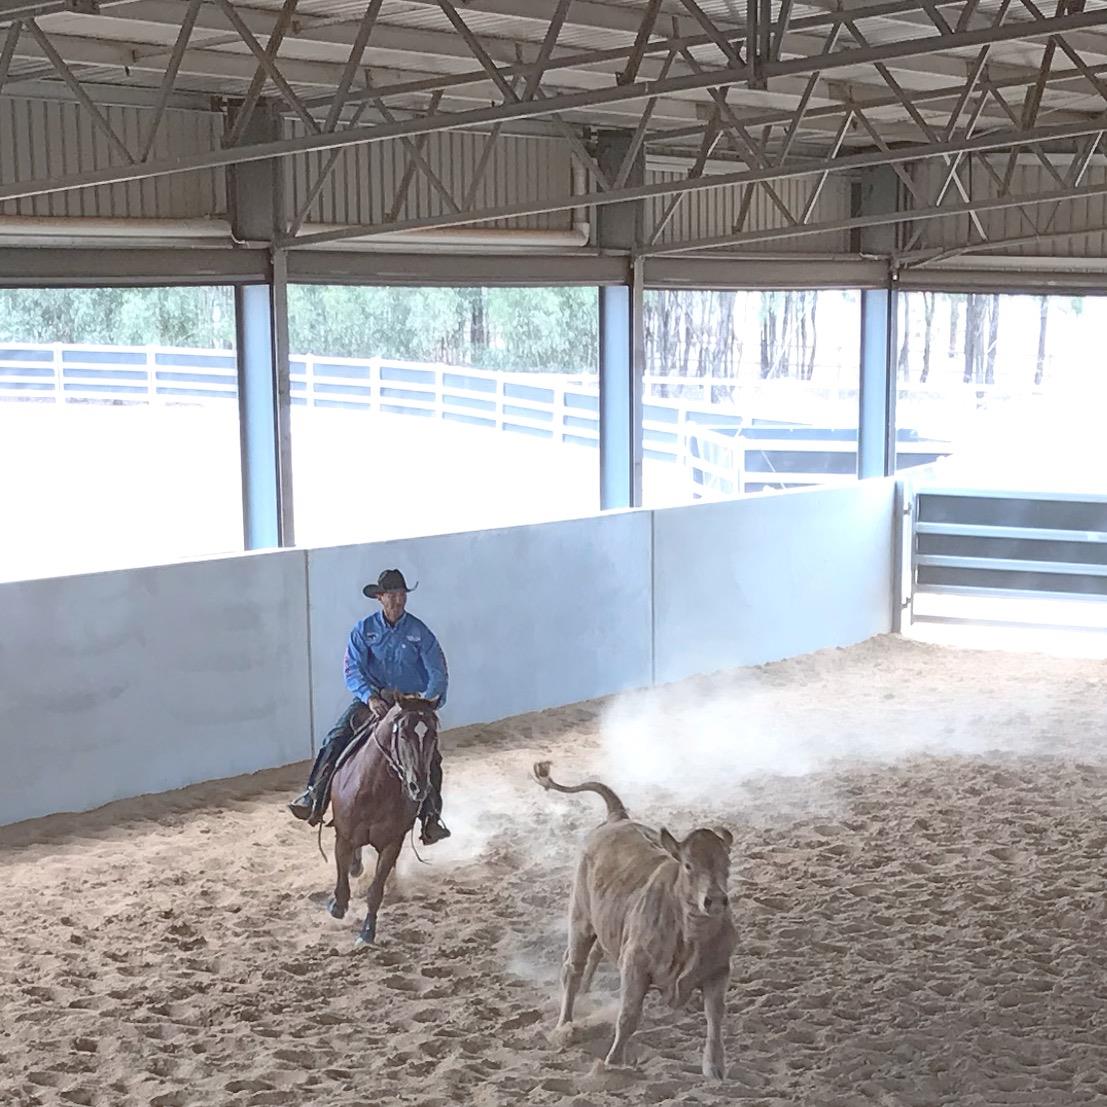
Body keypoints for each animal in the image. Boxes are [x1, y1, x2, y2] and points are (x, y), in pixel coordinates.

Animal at [324, 694, 441, 946]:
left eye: (433, 735)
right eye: (403, 734)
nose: (418, 787)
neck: (374, 788)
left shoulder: (392, 843)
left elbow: (376, 889)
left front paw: (367, 931)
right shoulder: (343, 836)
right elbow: (342, 875)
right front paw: (337, 905)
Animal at [533, 760, 736, 1081]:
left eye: (727, 864)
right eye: (688, 865)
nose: (714, 899)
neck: (688, 933)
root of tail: (618, 818)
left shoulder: (719, 969)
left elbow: (715, 1017)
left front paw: (714, 1068)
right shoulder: (635, 965)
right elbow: (628, 1015)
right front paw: (613, 1062)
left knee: (596, 953)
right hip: (580, 918)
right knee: (572, 968)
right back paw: (564, 1026)